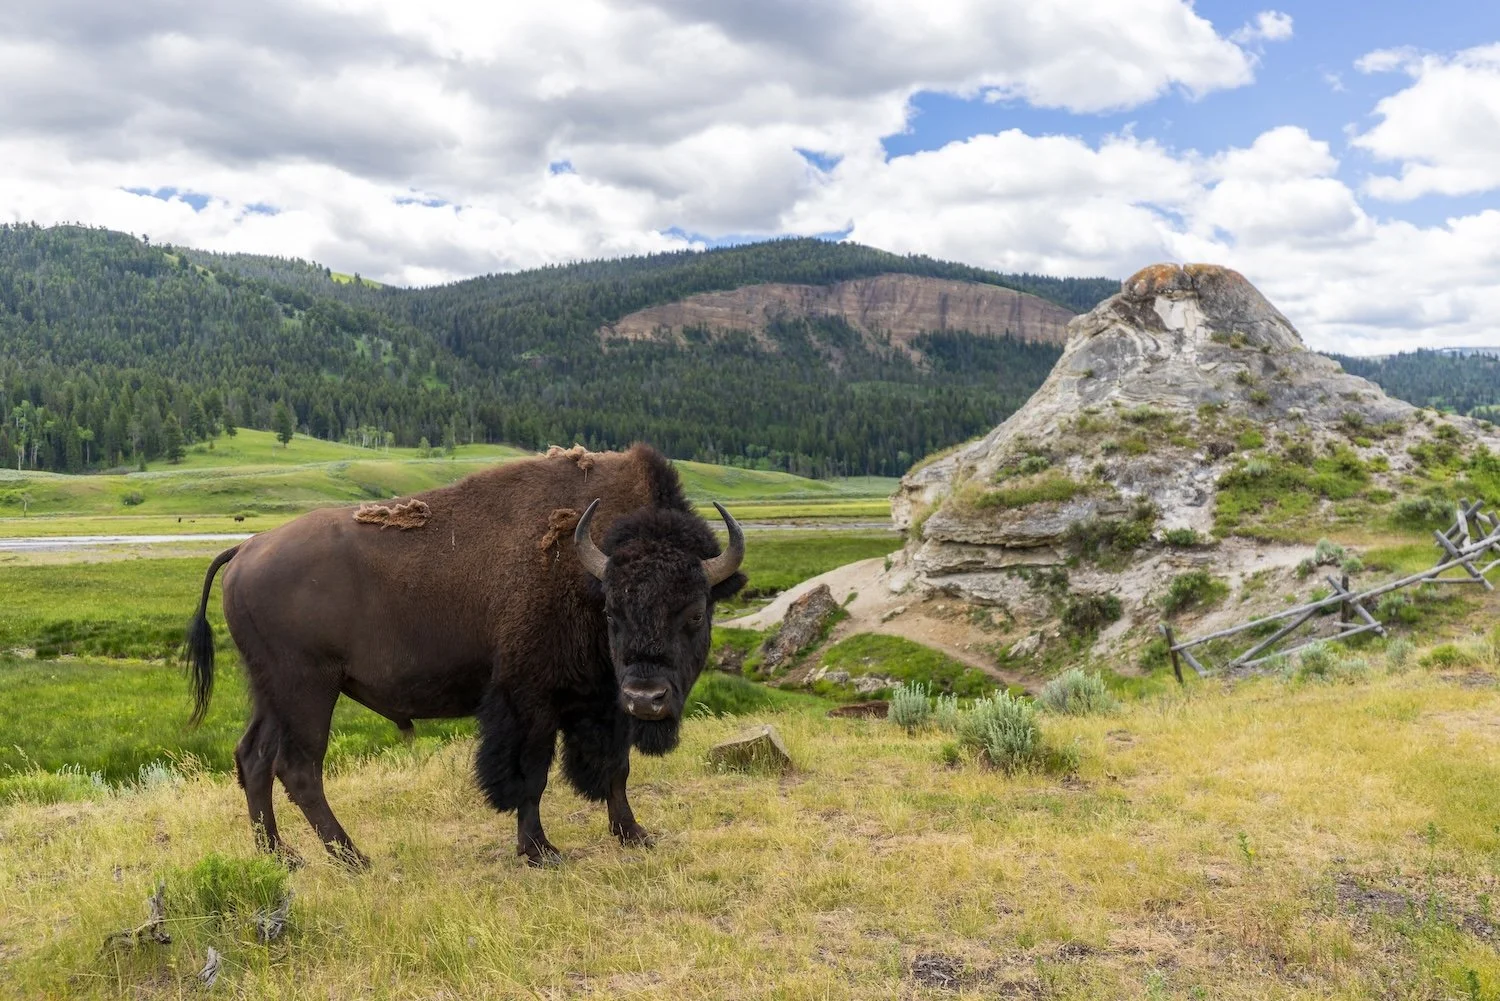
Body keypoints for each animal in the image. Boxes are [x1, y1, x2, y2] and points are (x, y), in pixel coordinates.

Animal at [185, 444, 746, 866]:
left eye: (696, 613)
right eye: (612, 610)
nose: (647, 697)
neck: (588, 572)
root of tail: (247, 548)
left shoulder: (608, 702)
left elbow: (617, 767)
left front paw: (633, 833)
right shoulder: (530, 700)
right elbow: (531, 773)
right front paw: (540, 851)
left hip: (270, 692)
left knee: (253, 757)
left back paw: (280, 857)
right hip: (308, 691)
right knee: (299, 768)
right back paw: (353, 859)